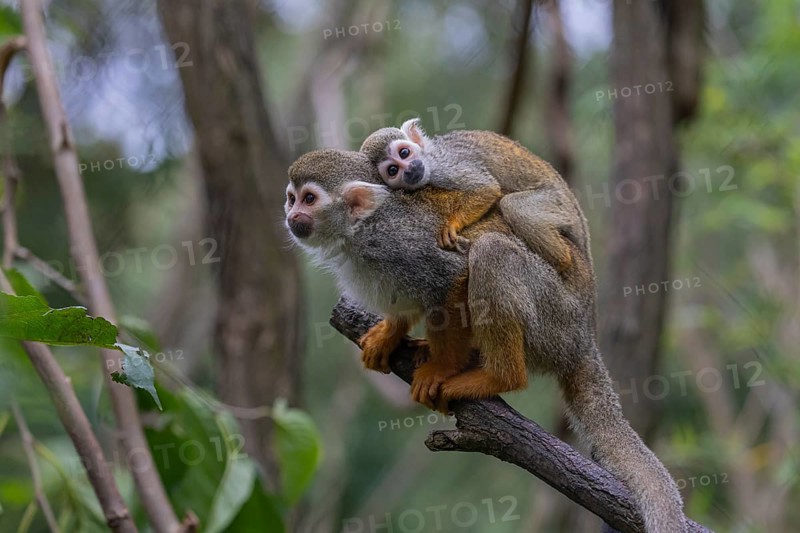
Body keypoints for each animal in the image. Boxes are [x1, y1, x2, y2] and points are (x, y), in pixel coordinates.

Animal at [285, 148, 686, 533]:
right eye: (290, 198)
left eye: (309, 199)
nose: (291, 216)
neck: (359, 232)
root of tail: (583, 339)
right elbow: (409, 301)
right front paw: (391, 333)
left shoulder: (400, 241)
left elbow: (452, 279)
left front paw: (442, 368)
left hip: (553, 320)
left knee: (491, 252)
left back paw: (499, 376)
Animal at [359, 119, 586, 275]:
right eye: (393, 170)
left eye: (404, 153)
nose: (410, 170)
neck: (428, 158)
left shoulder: (443, 167)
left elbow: (487, 188)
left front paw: (453, 224)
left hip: (557, 203)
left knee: (514, 206)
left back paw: (561, 260)